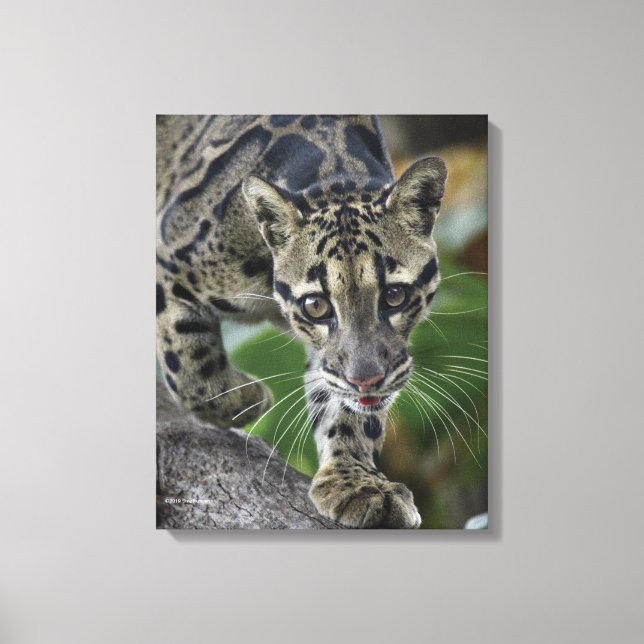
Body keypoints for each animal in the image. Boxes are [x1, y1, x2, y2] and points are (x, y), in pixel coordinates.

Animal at [156, 115, 447, 528]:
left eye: (395, 295)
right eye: (316, 306)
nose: (367, 380)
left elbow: (346, 405)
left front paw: (358, 482)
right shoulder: (169, 263)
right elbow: (189, 368)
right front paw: (248, 398)